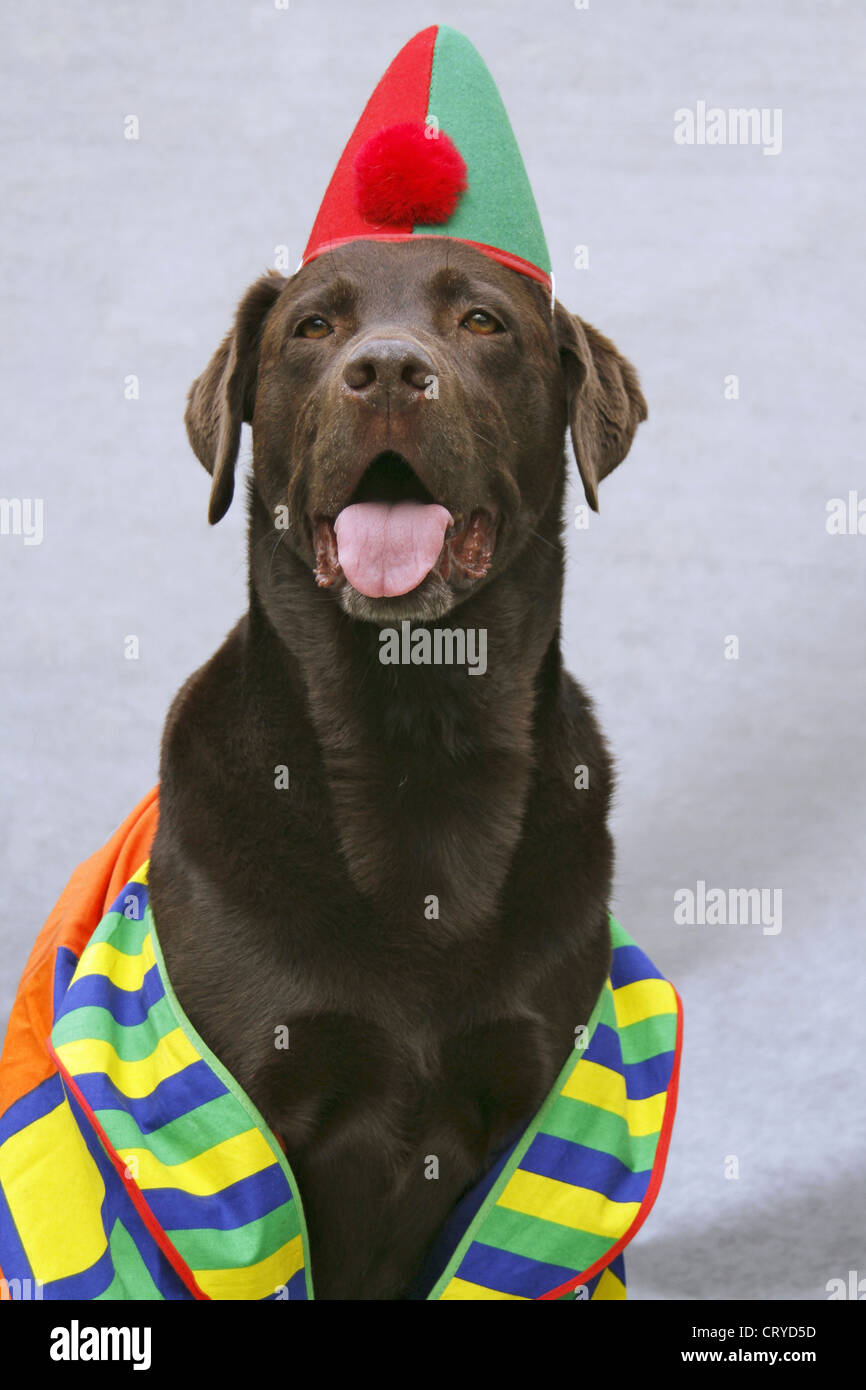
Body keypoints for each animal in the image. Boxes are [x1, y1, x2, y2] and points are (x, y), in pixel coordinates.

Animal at [147, 233, 650, 1295]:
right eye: (312, 327)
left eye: (483, 321)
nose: (383, 371)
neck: (416, 734)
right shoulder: (237, 1133)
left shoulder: (536, 1122)